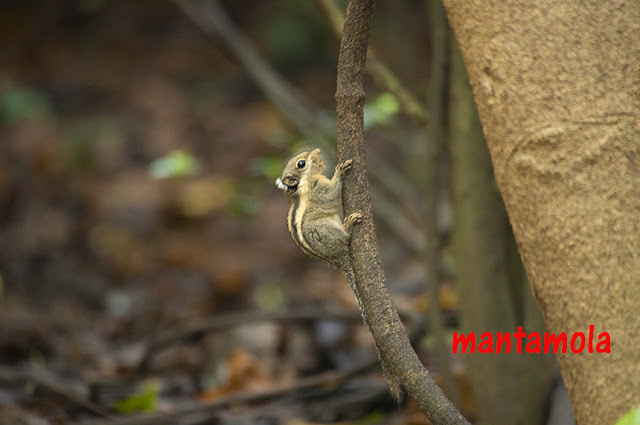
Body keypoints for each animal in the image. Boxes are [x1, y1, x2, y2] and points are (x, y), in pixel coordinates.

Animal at [276, 148, 404, 400]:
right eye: (301, 163)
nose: (316, 150)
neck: (303, 186)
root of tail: (339, 262)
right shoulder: (320, 190)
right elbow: (332, 190)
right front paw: (340, 170)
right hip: (322, 231)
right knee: (344, 237)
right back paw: (348, 225)